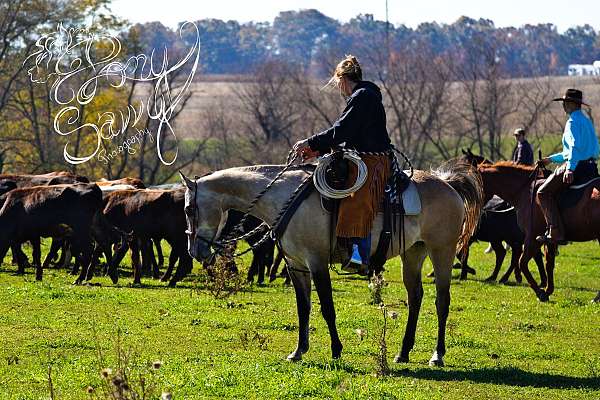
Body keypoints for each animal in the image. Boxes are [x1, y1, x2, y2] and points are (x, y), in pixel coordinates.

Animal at [179, 161, 482, 368]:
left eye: (188, 208)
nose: (195, 251)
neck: (285, 199)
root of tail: (448, 184)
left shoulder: (316, 262)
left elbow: (327, 308)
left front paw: (336, 350)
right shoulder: (296, 266)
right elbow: (304, 309)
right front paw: (298, 351)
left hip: (441, 251)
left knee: (442, 301)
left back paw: (437, 355)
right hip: (414, 253)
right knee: (416, 297)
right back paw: (403, 352)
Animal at [478, 161, 600, 302]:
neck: (525, 191)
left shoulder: (532, 236)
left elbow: (522, 262)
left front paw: (540, 292)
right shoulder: (549, 240)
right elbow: (548, 264)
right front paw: (547, 290)